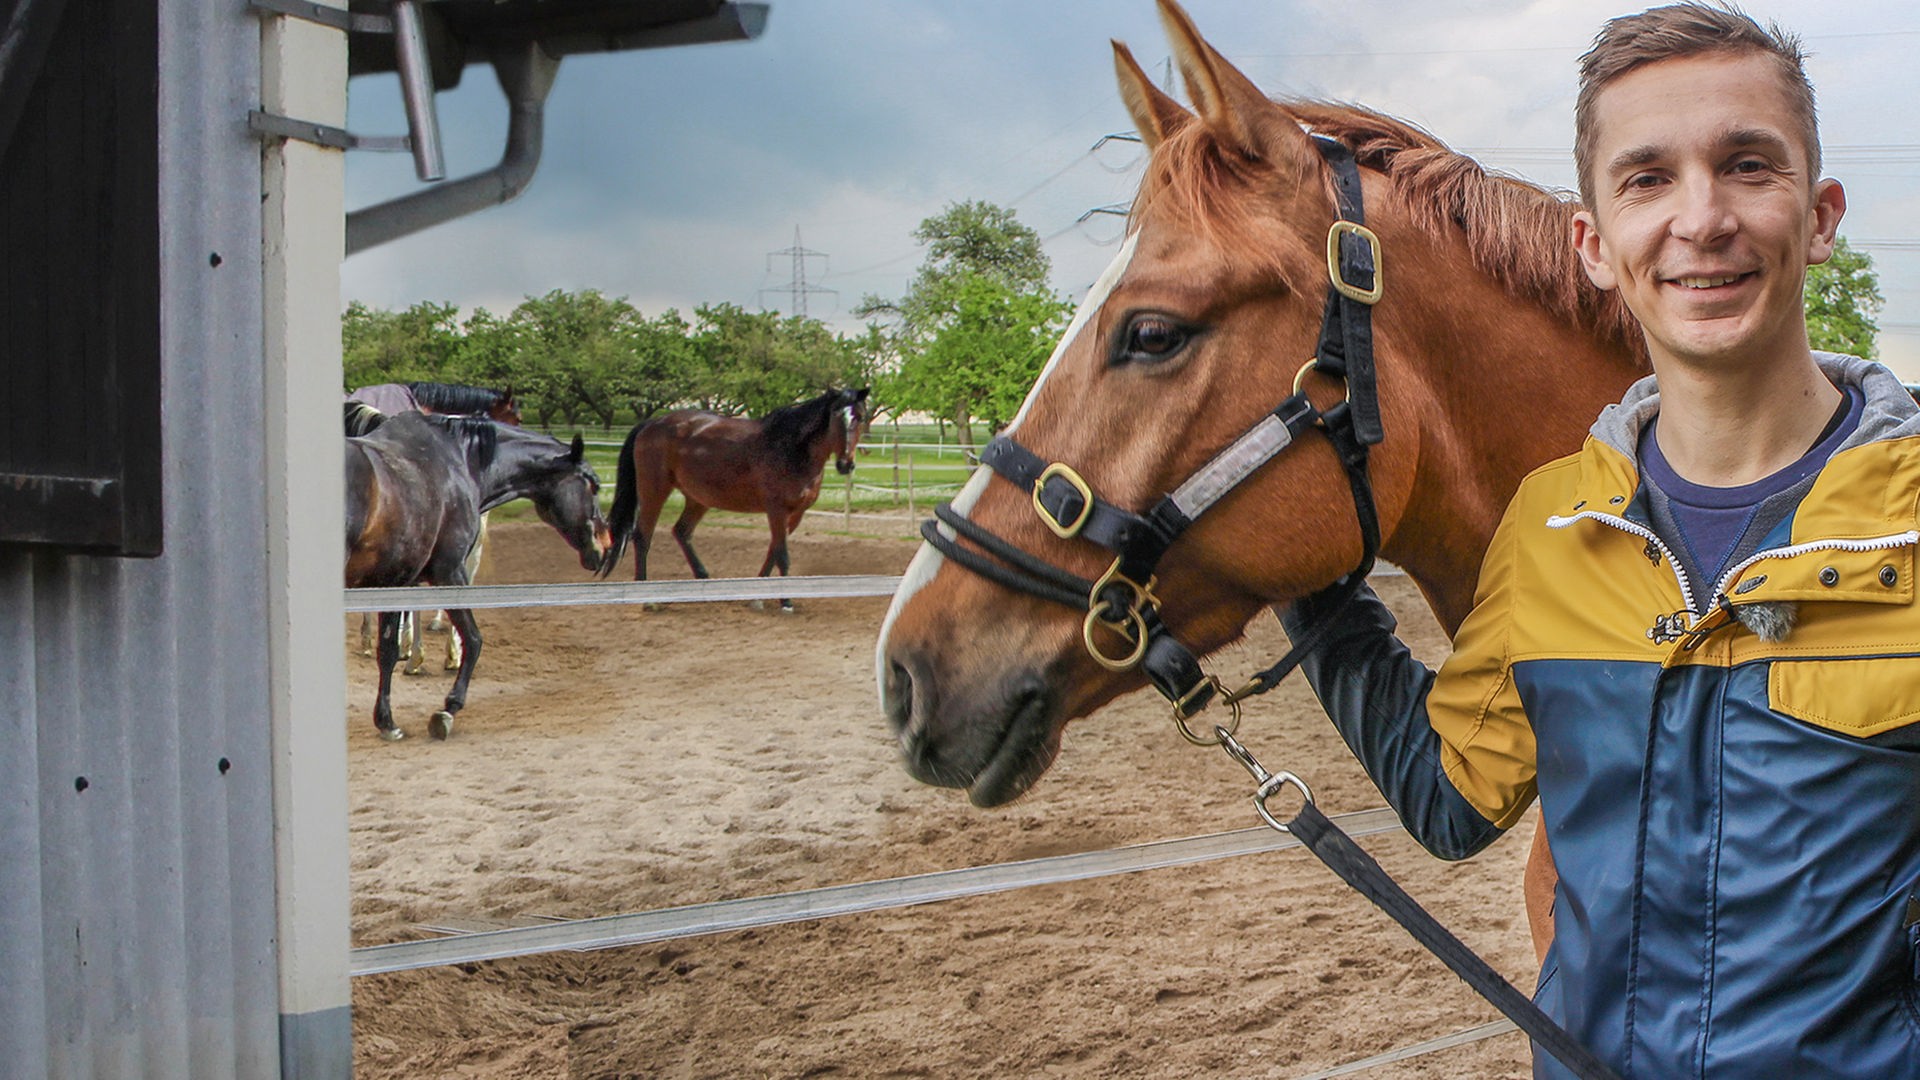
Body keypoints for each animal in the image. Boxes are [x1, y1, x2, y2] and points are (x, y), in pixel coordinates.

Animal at [346, 411, 611, 741]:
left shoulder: (395, 583)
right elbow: (472, 639)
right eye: (594, 485)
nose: (605, 546)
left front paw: (386, 721)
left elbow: (387, 652)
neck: (457, 463)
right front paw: (447, 710)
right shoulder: (447, 574)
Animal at [601, 387, 871, 611]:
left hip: (698, 498)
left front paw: (758, 597)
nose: (845, 464)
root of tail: (651, 423)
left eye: (859, 416)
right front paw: (785, 601)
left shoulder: (795, 514)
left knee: (681, 531)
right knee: (642, 536)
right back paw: (647, 599)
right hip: (654, 491)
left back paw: (704, 582)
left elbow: (773, 551)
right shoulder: (777, 509)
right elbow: (782, 555)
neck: (792, 448)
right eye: (836, 415)